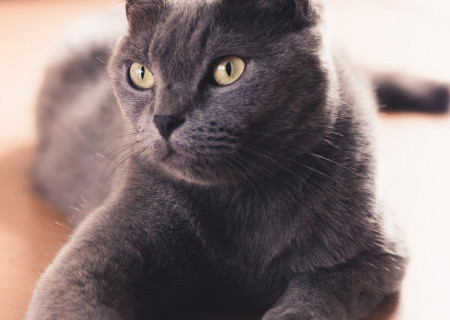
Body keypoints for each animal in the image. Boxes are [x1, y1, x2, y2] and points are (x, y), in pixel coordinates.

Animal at [26, 0, 410, 320]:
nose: (164, 119)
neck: (246, 201)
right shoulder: (93, 256)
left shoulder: (376, 250)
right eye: (140, 73)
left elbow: (319, 293)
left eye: (228, 69)